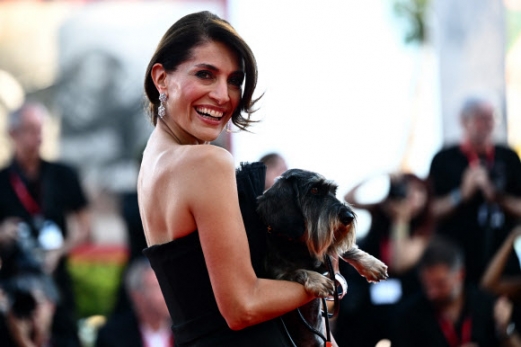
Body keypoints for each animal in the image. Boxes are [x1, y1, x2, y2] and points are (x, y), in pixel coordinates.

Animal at [256, 168, 386, 346]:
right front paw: (318, 280)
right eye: (314, 190)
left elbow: (345, 250)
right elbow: (296, 271)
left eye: (334, 191)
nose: (349, 216)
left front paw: (371, 264)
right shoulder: (275, 275)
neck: (297, 244)